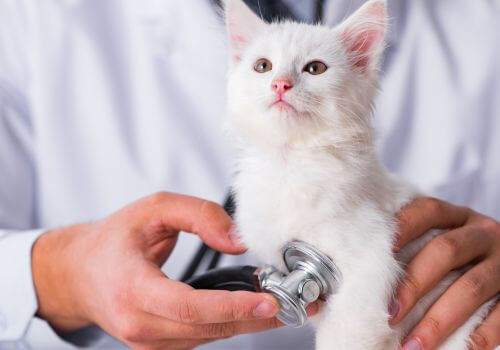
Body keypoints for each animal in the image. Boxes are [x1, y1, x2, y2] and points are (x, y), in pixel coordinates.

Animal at [225, 0, 494, 350]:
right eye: (263, 66)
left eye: (315, 69)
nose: (280, 84)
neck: (291, 163)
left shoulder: (370, 262)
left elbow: (348, 330)